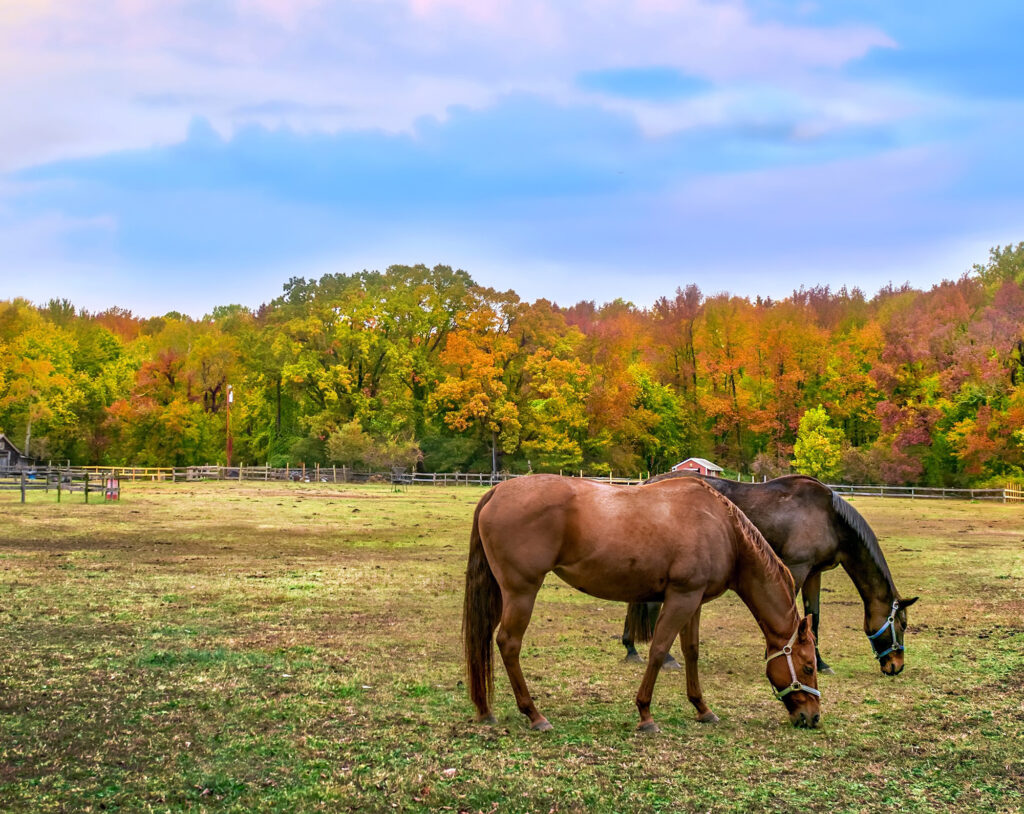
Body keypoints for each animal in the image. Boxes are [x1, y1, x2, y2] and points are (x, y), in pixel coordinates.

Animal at [460, 470, 819, 733]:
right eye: (808, 666)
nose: (813, 716)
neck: (721, 527)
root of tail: (497, 492)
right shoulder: (681, 598)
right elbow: (659, 650)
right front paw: (645, 714)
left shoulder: (694, 601)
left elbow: (691, 651)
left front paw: (702, 708)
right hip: (521, 593)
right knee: (508, 643)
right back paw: (534, 715)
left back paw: (486, 710)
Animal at [622, 470, 921, 708]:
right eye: (902, 625)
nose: (896, 666)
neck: (829, 517)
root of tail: (648, 482)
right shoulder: (797, 567)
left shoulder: (814, 573)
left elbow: (814, 618)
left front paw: (820, 662)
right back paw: (665, 657)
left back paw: (631, 648)